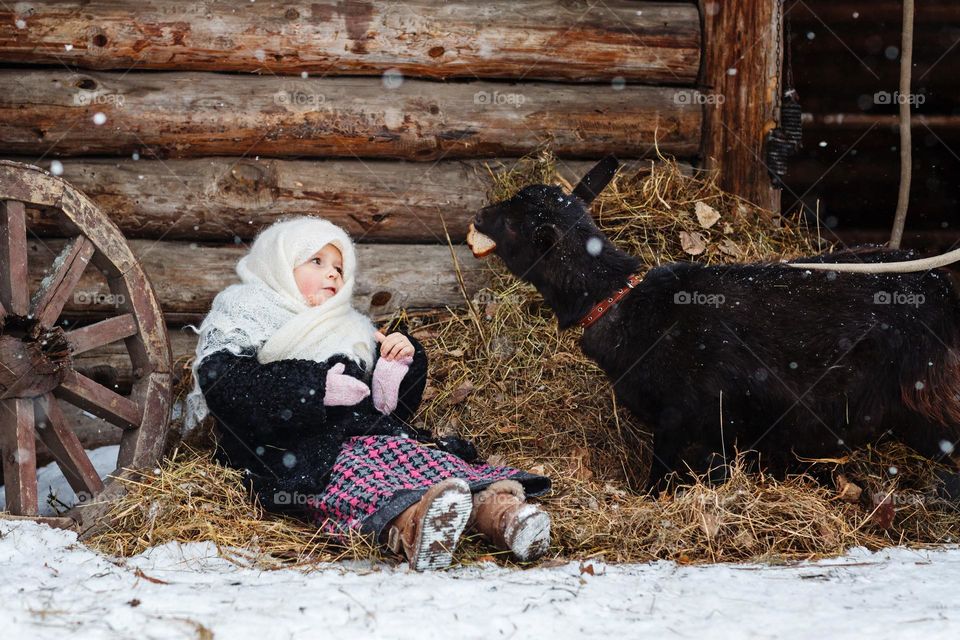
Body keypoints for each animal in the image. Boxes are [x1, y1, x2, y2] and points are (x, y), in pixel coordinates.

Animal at [470, 158, 960, 488]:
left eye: (512, 223)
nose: (477, 216)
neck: (621, 300)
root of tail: (942, 286)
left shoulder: (690, 416)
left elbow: (663, 476)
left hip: (929, 396)